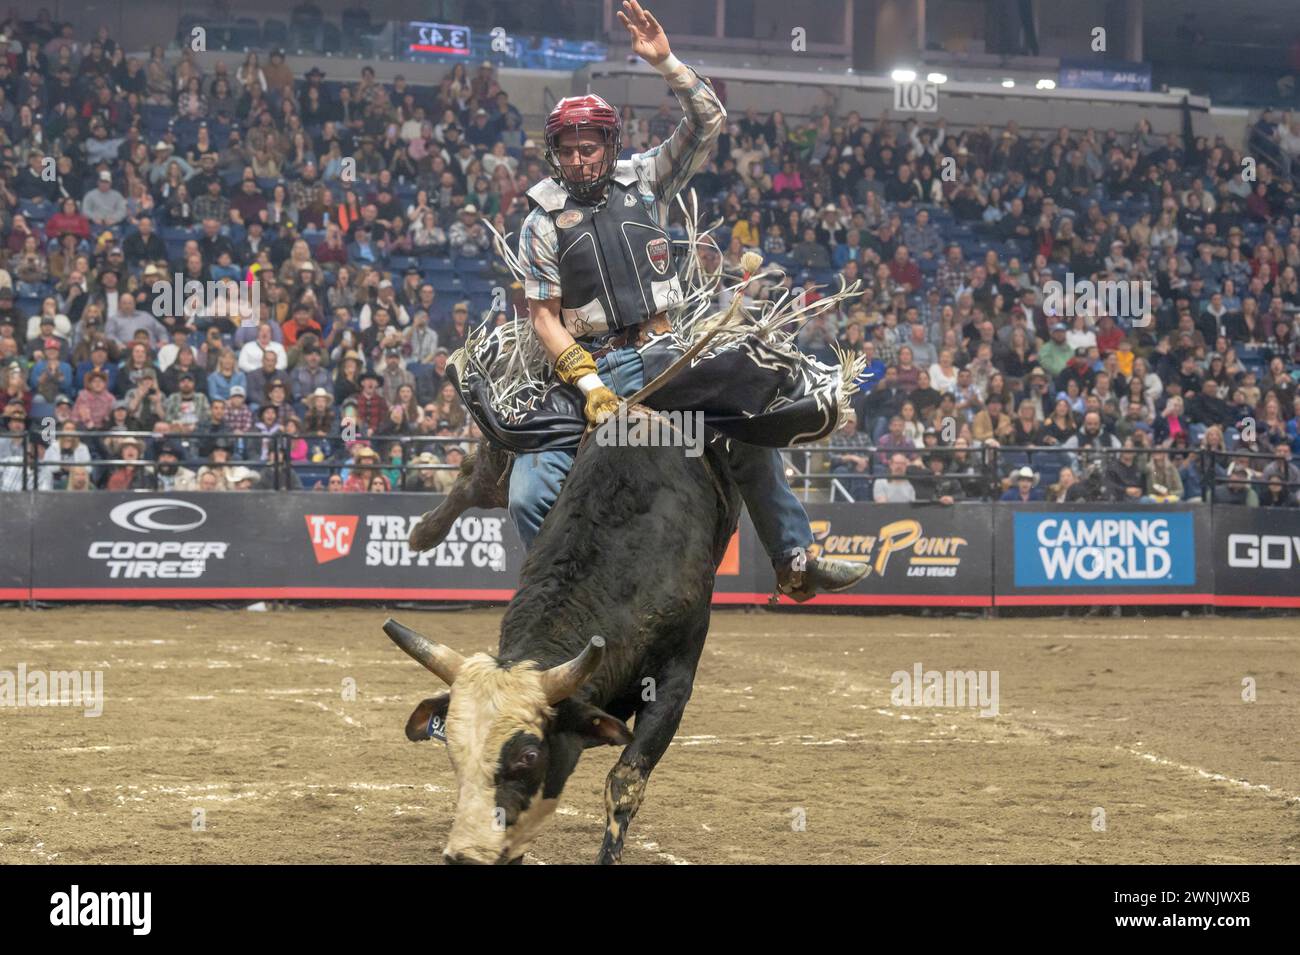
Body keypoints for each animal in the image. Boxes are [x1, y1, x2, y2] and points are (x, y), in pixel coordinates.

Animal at [379, 420, 738, 862]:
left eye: (529, 756)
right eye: (453, 749)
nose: (466, 854)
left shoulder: (674, 684)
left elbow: (625, 782)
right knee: (472, 475)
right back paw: (423, 532)